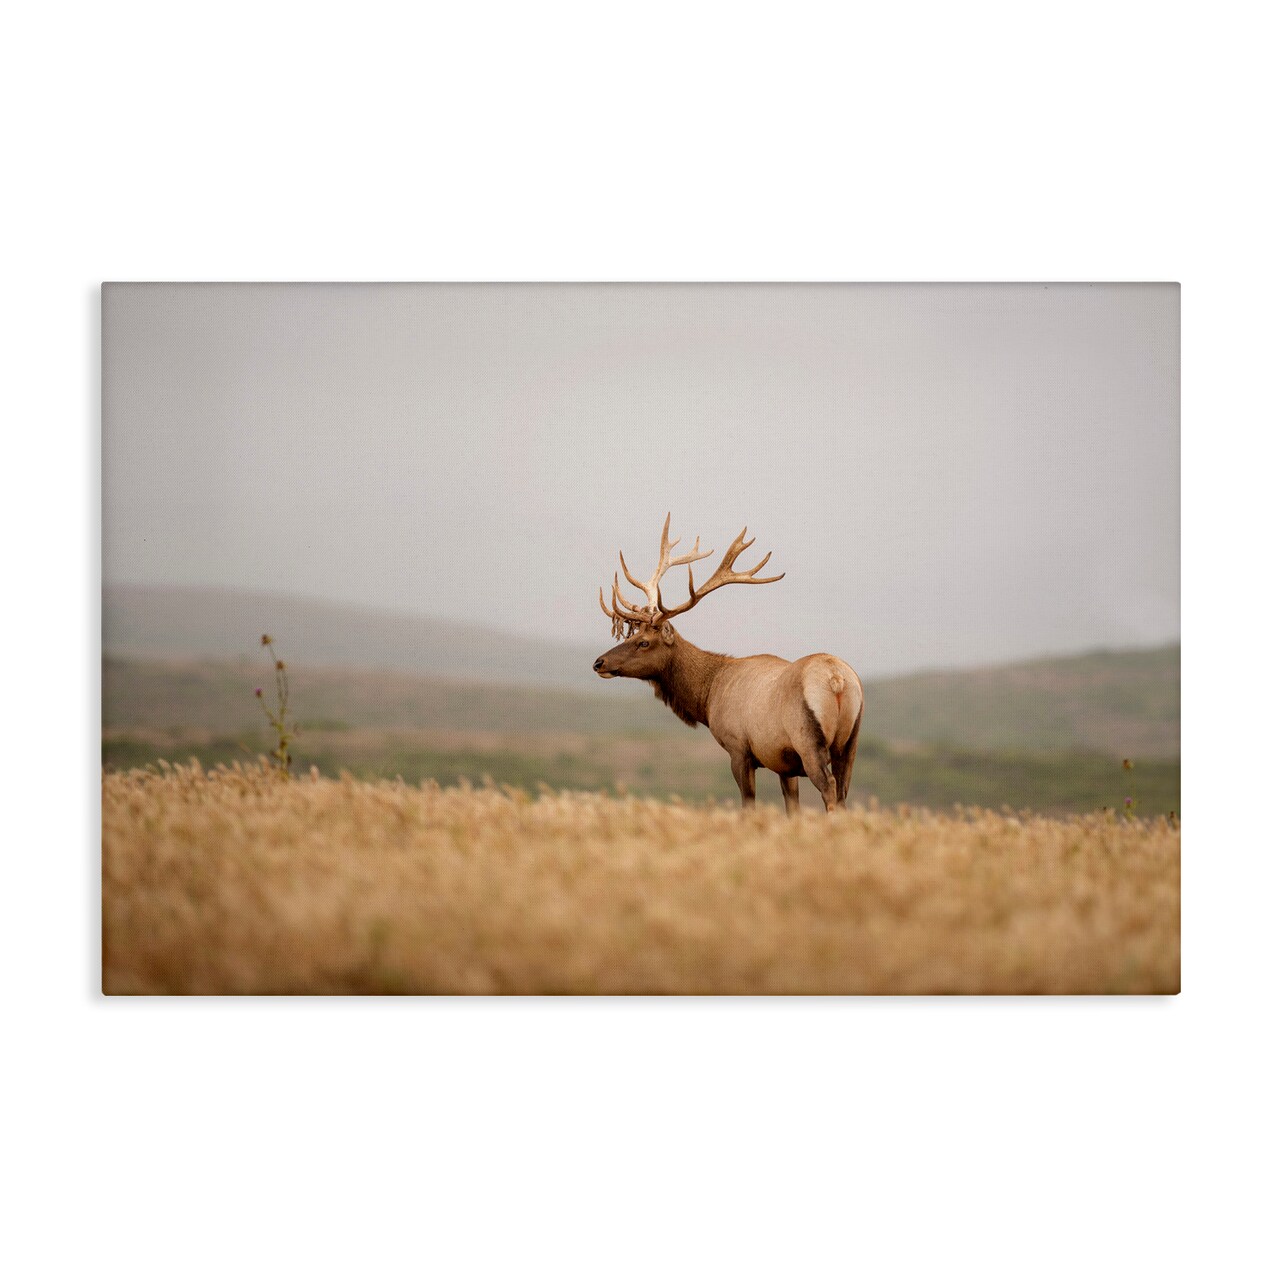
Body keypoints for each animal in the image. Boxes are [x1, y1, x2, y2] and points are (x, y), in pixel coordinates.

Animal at [595, 515, 864, 816]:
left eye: (643, 642)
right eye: (631, 635)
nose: (599, 662)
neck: (708, 695)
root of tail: (837, 679)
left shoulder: (739, 748)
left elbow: (748, 804)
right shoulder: (783, 763)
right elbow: (791, 808)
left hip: (808, 740)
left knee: (829, 790)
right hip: (850, 743)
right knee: (842, 793)